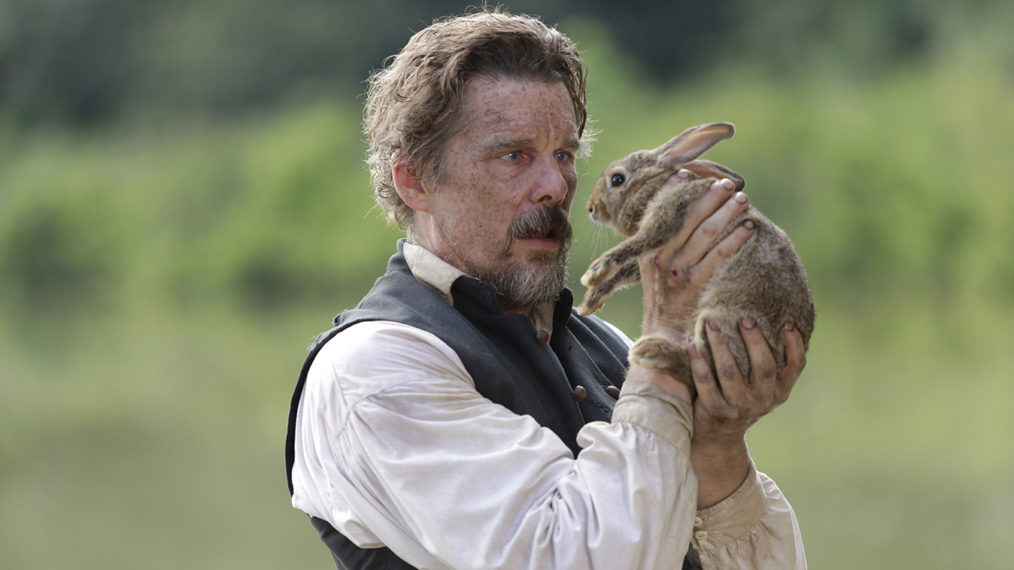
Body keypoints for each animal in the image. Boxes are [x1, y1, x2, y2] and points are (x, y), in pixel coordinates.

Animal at [580, 119, 815, 385]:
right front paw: (591, 300)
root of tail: (780, 361)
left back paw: (651, 350)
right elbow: (625, 272)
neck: (654, 186)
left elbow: (635, 244)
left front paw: (594, 272)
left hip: (722, 320)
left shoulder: (670, 211)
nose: (591, 208)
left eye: (617, 179)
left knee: (706, 370)